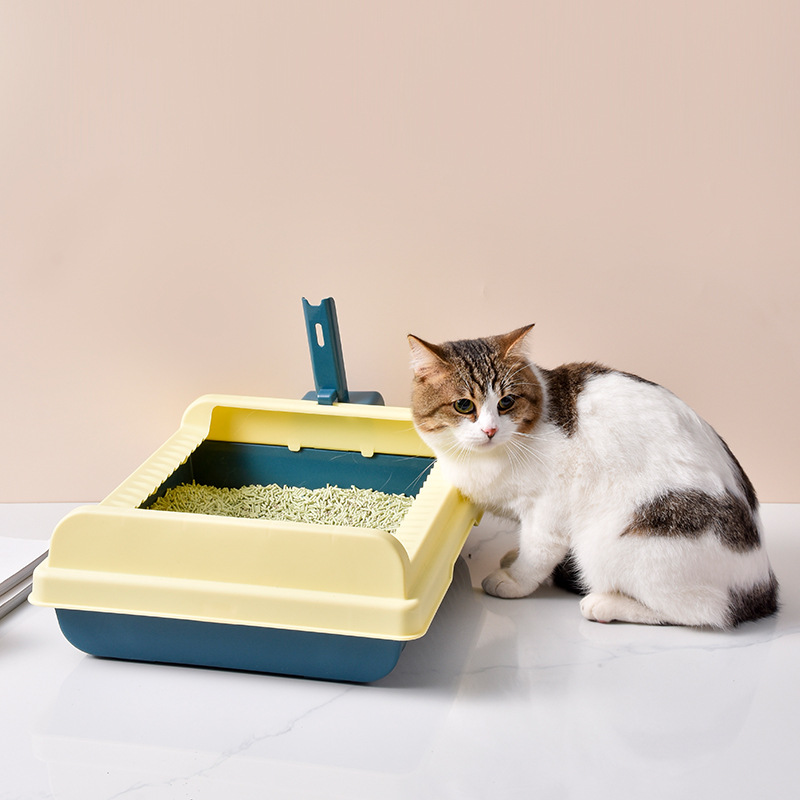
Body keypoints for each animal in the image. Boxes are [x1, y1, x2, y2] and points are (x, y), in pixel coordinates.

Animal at [408, 325, 778, 628]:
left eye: (507, 402)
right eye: (464, 406)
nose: (489, 430)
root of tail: (763, 586)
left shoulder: (551, 508)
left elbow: (537, 550)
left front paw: (514, 579)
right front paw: (515, 558)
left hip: (610, 544)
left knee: (706, 611)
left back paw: (606, 603)